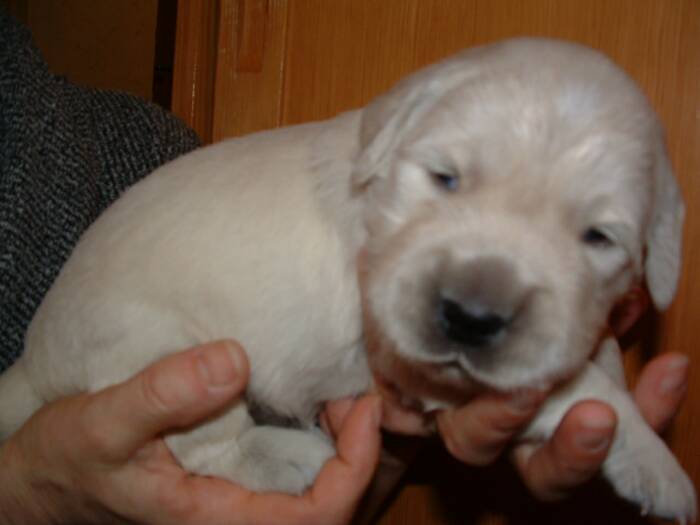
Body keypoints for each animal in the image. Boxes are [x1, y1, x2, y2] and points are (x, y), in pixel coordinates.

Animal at [0, 37, 695, 521]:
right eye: (445, 178)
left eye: (597, 238)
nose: (469, 319)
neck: (377, 196)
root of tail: (35, 362)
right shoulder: (414, 363)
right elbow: (589, 392)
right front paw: (661, 467)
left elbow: (591, 355)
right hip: (159, 349)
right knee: (208, 448)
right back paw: (288, 455)